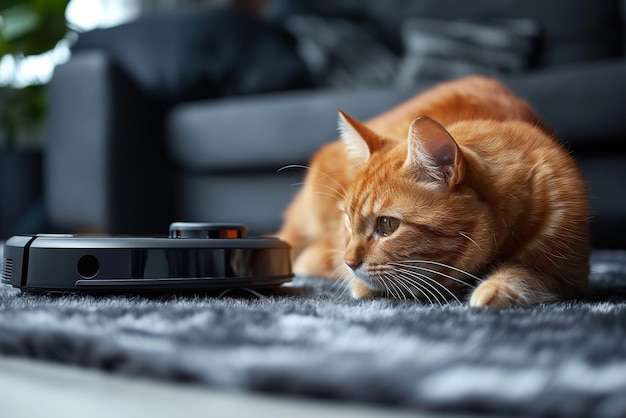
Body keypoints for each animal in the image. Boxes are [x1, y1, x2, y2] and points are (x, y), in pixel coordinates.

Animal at [278, 76, 588, 308]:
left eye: (387, 225)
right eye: (348, 219)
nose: (349, 262)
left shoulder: (568, 272)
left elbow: (528, 272)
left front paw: (499, 287)